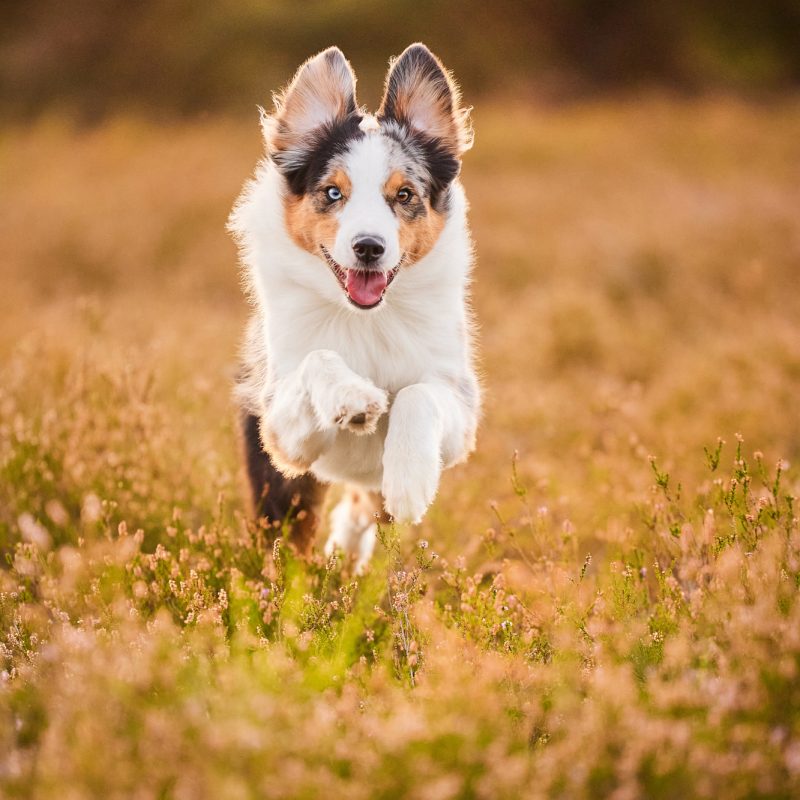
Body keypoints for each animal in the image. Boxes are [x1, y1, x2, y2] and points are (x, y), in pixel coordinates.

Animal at [231, 43, 482, 568]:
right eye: (333, 192)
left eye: (404, 194)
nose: (369, 247)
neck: (367, 320)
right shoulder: (281, 432)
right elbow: (319, 359)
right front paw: (352, 397)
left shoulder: (462, 411)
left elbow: (417, 394)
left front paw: (408, 481)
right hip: (279, 489)